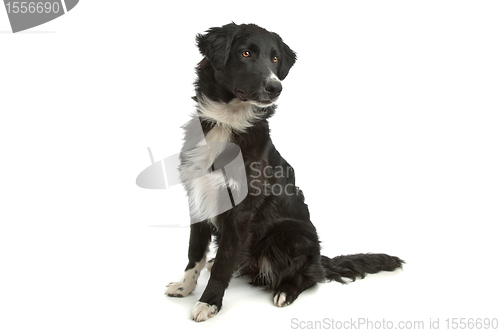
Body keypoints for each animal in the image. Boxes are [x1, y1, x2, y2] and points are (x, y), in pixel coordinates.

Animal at [164, 22, 402, 320]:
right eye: (245, 53)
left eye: (275, 59)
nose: (275, 87)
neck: (228, 124)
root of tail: (318, 258)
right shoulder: (198, 197)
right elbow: (194, 252)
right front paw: (185, 287)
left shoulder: (241, 210)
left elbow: (223, 264)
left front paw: (209, 302)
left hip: (289, 234)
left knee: (311, 277)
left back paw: (286, 291)